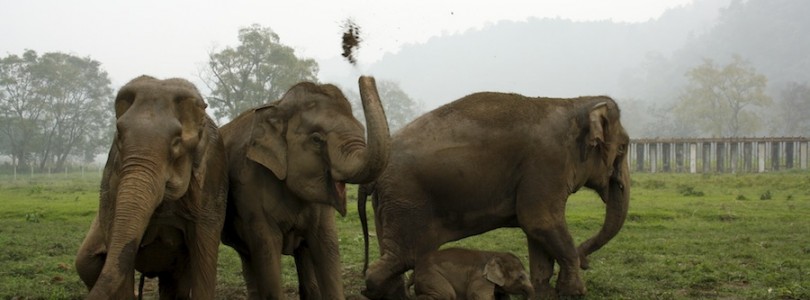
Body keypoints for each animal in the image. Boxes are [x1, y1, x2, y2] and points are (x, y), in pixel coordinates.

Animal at [75, 75, 227, 300]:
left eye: (176, 142)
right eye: (119, 137)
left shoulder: (212, 175)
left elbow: (204, 253)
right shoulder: (112, 177)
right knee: (85, 264)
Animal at [218, 76, 388, 298]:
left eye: (361, 129)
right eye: (316, 139)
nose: (366, 78)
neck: (279, 106)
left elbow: (327, 247)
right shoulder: (250, 189)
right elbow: (267, 250)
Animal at [360, 92, 632, 298]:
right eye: (622, 148)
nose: (586, 260)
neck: (574, 103)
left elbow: (536, 231)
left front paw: (545, 293)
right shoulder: (547, 163)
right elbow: (541, 221)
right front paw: (575, 292)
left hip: (388, 204)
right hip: (407, 201)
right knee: (403, 257)